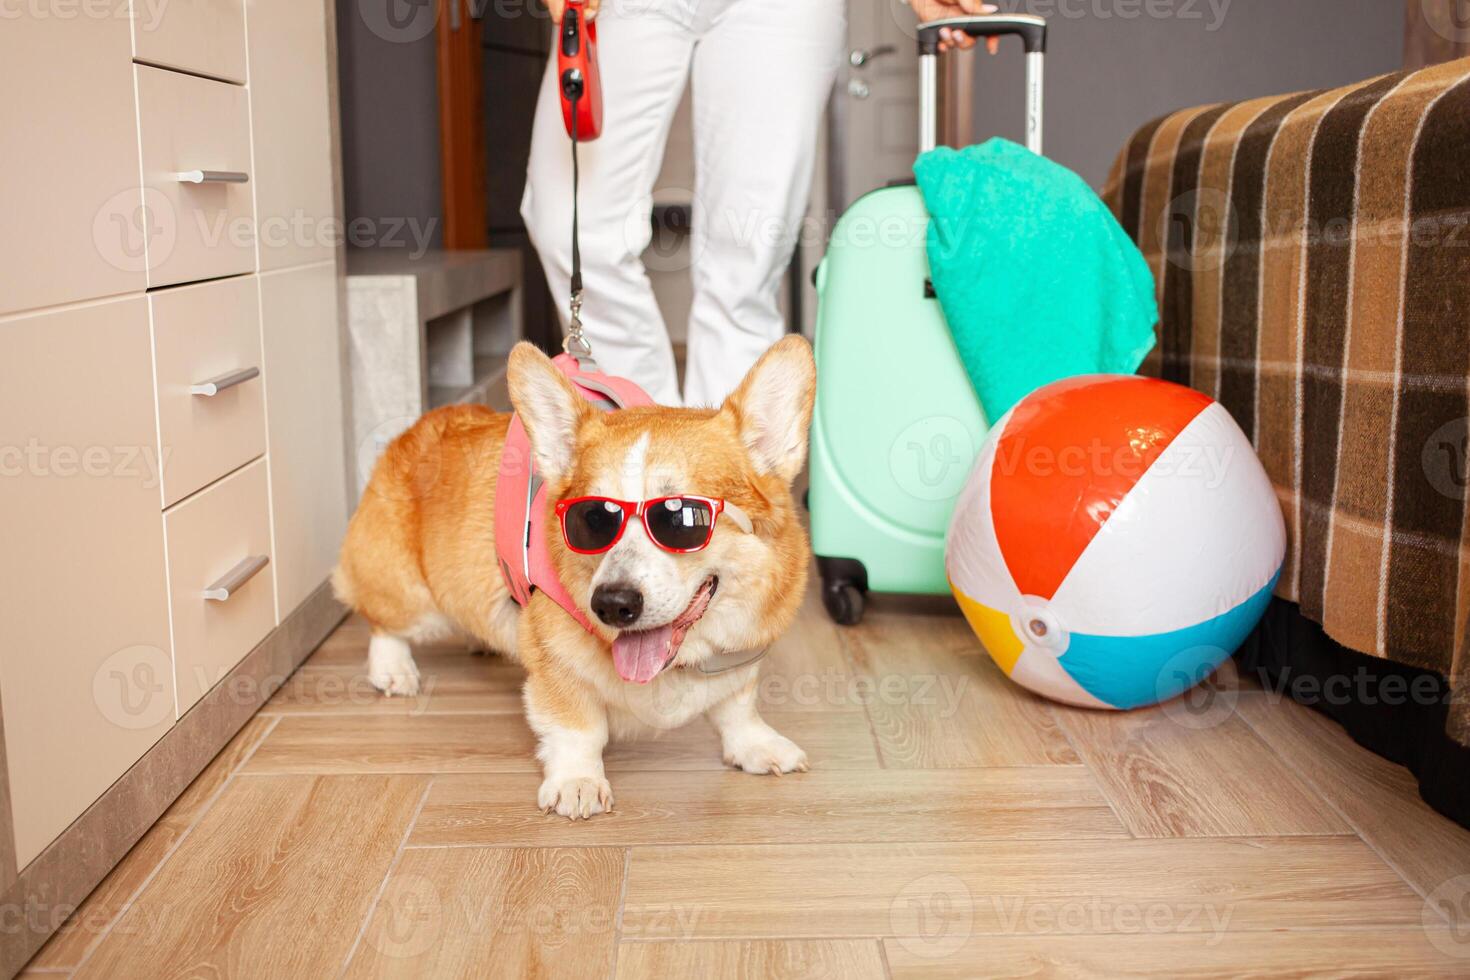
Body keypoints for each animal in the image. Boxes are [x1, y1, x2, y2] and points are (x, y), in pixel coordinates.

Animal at [332, 337, 817, 822]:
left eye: (682, 518)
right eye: (593, 518)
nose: (613, 604)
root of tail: (415, 427)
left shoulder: (740, 655)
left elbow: (738, 707)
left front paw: (755, 745)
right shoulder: (555, 664)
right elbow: (577, 728)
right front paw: (577, 782)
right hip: (413, 599)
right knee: (383, 621)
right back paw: (393, 669)